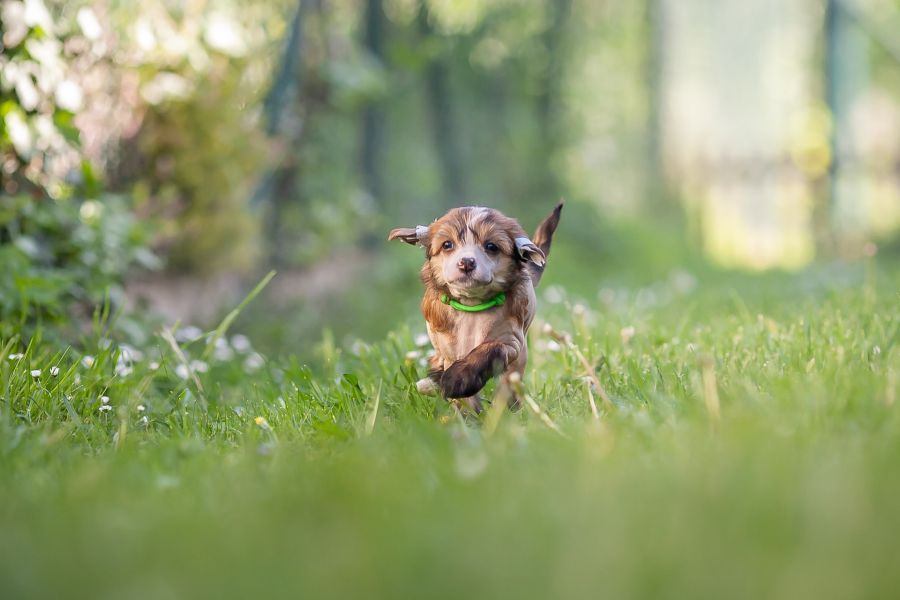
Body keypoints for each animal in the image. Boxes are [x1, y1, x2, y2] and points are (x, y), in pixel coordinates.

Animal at [388, 204, 560, 410]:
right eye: (447, 245)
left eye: (491, 246)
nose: (467, 262)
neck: (472, 304)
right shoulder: (449, 349)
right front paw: (467, 411)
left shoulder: (511, 341)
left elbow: (491, 349)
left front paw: (458, 380)